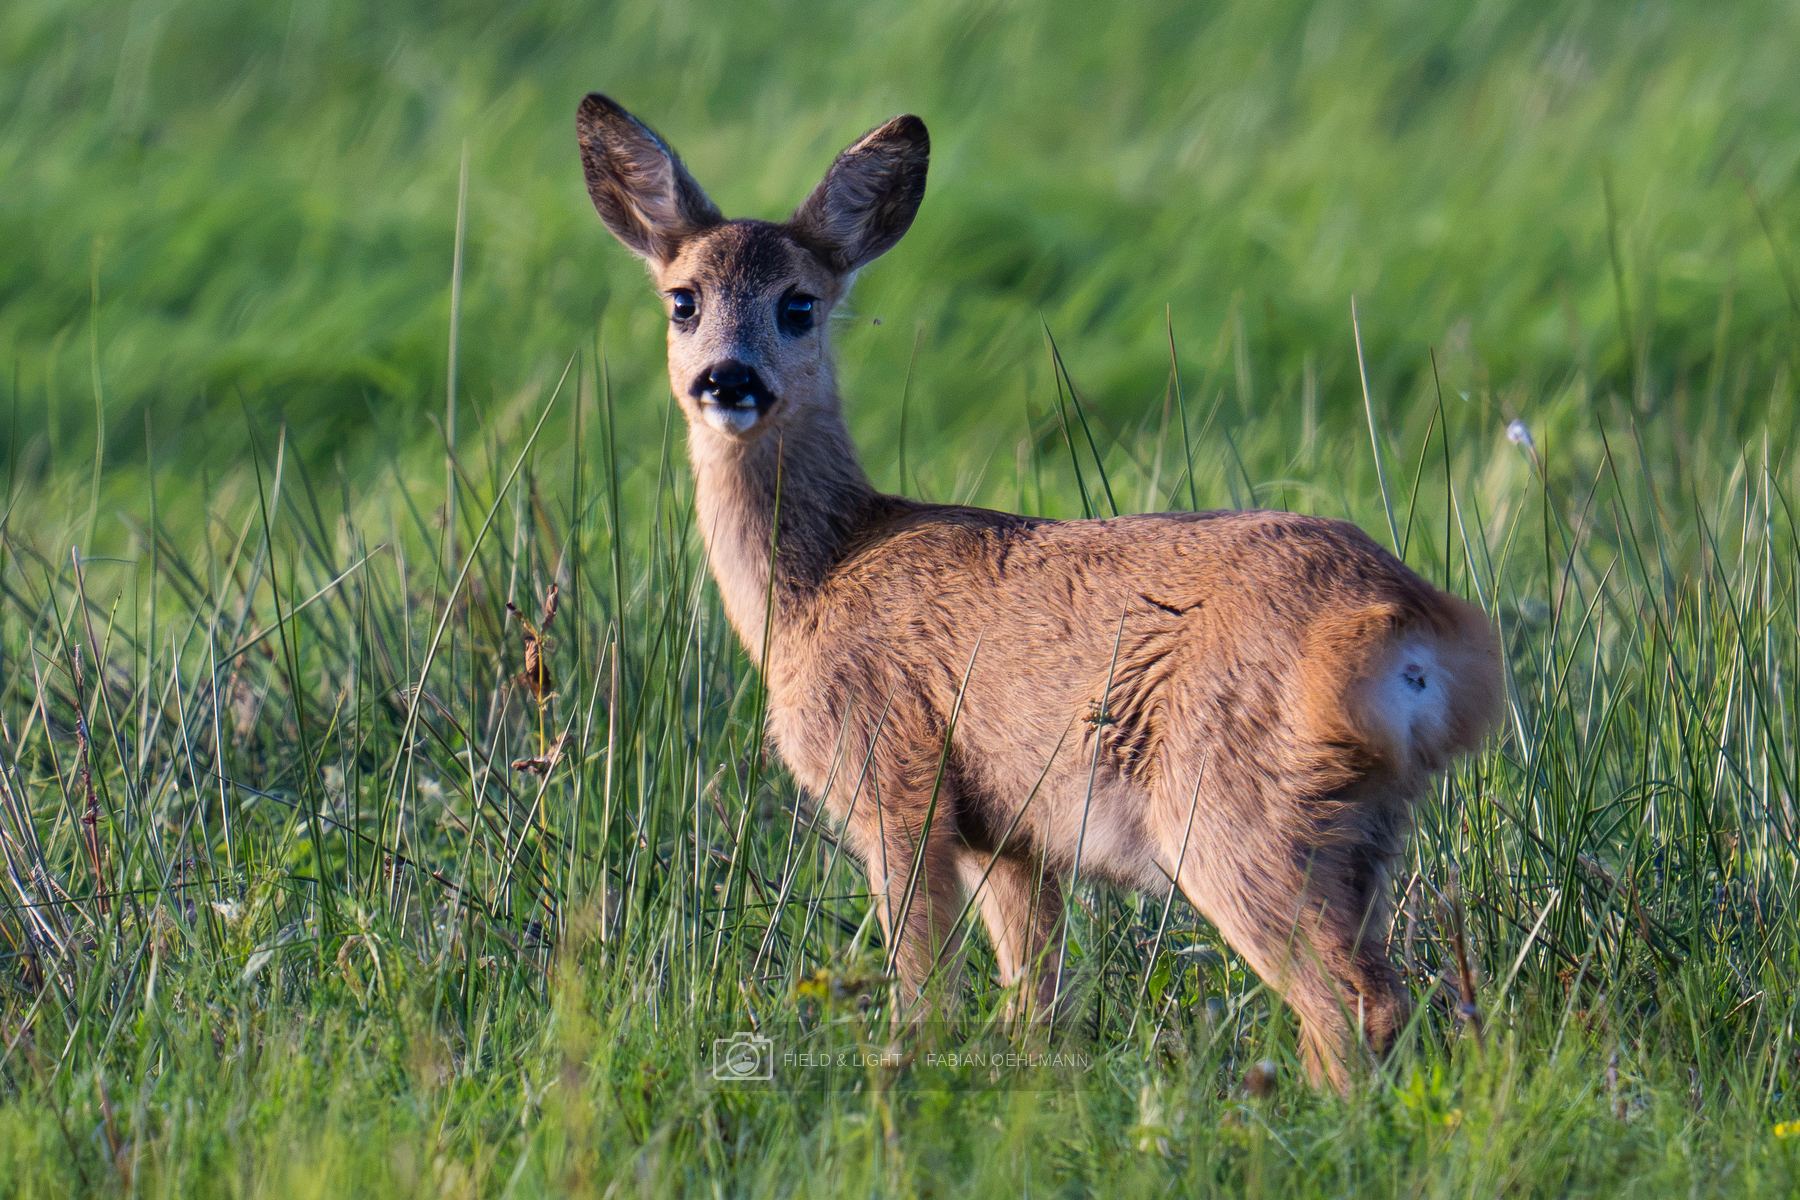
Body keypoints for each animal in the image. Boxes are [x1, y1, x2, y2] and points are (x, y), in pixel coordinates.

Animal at [574, 93, 1504, 1089]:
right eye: (683, 302)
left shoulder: (894, 768)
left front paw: (906, 1062)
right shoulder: (1013, 833)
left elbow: (924, 977)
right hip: (1367, 825)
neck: (819, 579)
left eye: (799, 304)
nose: (729, 380)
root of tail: (1412, 630)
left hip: (1235, 807)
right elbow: (1036, 994)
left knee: (1351, 1003)